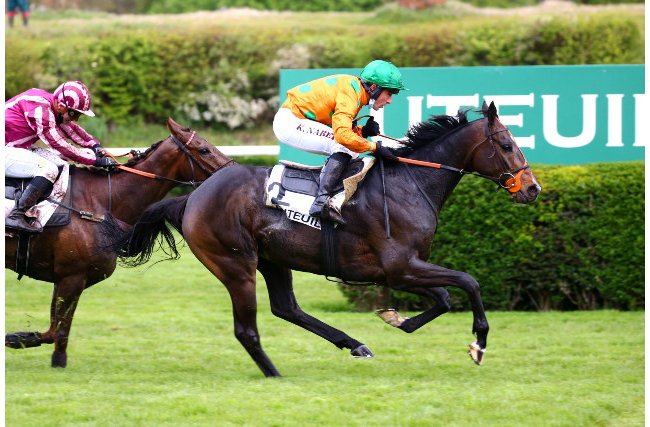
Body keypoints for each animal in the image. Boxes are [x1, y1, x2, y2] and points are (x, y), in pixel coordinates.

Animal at [4, 118, 233, 370]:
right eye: (204, 149)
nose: (233, 171)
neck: (101, 200)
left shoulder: (65, 277)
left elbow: (56, 328)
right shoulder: (73, 277)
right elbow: (57, 330)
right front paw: (22, 342)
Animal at [117, 103, 540, 378]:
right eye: (506, 145)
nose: (532, 188)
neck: (410, 183)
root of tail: (192, 196)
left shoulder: (404, 270)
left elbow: (445, 298)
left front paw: (395, 317)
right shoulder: (401, 267)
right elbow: (469, 282)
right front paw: (479, 344)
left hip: (273, 259)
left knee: (287, 308)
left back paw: (354, 344)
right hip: (236, 264)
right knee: (247, 328)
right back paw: (274, 373)